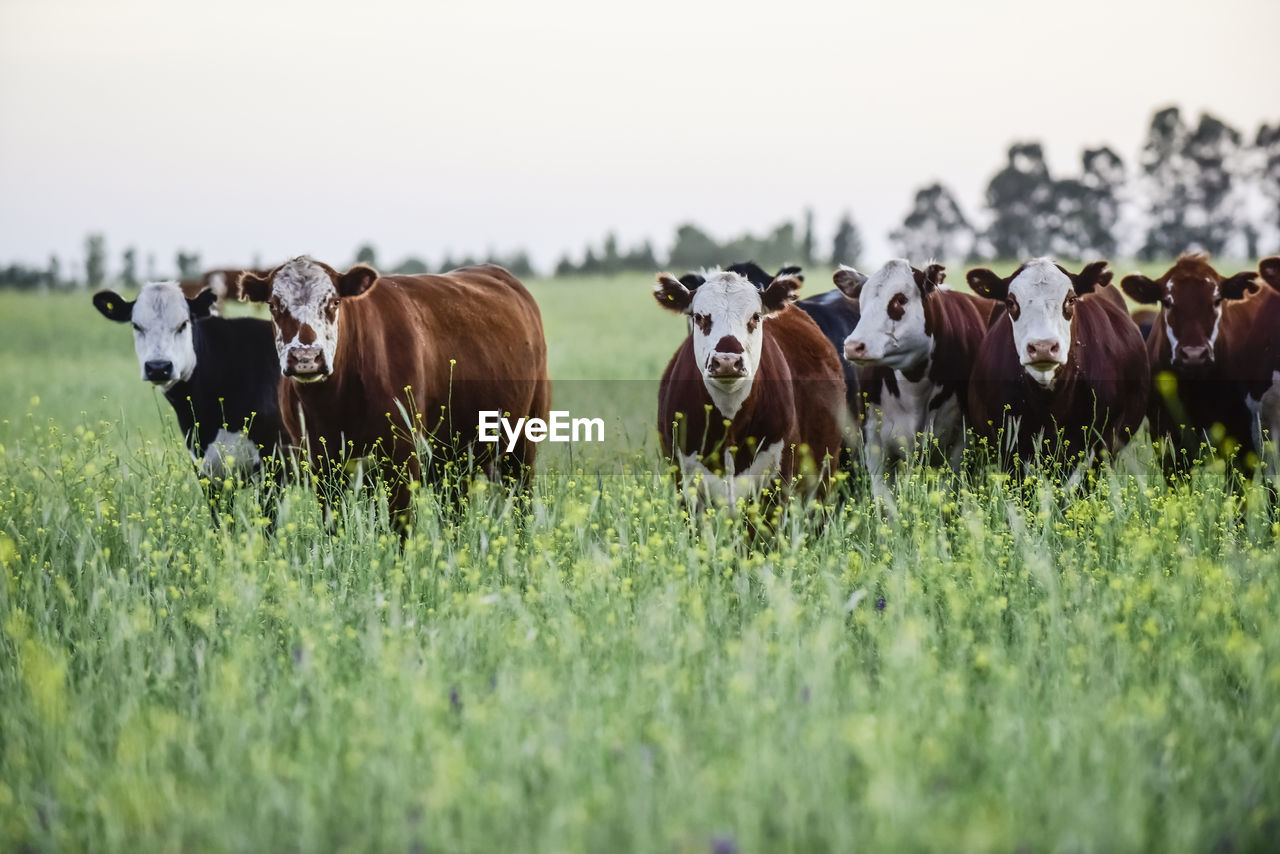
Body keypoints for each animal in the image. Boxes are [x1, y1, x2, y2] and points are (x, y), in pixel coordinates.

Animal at [240, 253, 550, 527]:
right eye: (274, 305)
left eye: (334, 302)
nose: (306, 358)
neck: (334, 403)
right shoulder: (322, 463)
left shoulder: (402, 457)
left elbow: (400, 528)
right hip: (453, 461)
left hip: (521, 445)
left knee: (520, 502)